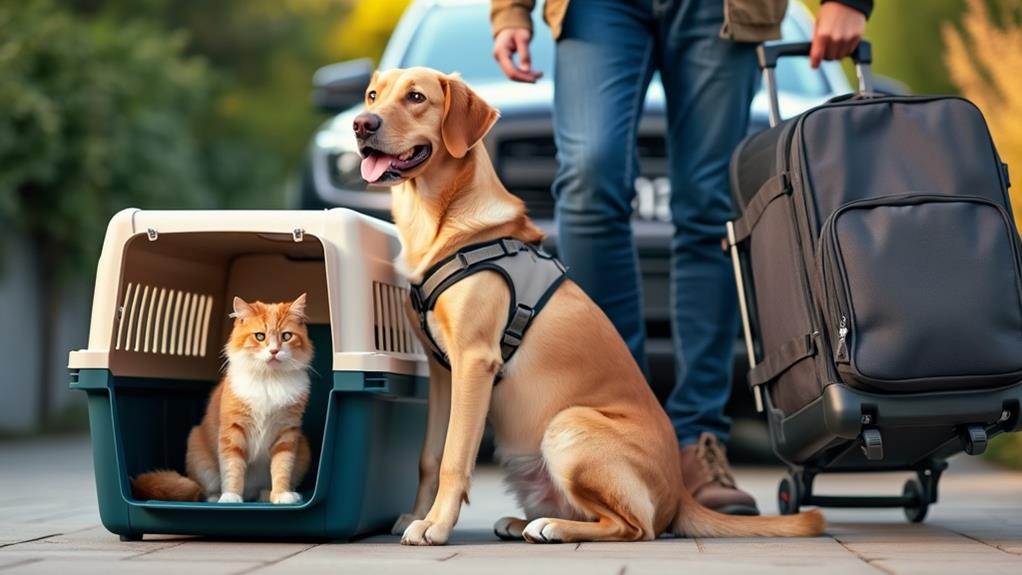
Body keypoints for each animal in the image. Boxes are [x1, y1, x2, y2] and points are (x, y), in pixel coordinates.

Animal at [131, 294, 314, 506]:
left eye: (286, 336)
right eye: (260, 336)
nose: (274, 351)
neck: (269, 379)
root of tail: (250, 492)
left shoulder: (286, 434)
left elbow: (281, 468)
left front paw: (282, 495)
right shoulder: (232, 431)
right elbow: (233, 469)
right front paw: (231, 498)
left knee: (260, 491)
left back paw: (266, 495)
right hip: (200, 458)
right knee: (204, 492)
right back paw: (217, 497)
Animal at [355, 67, 825, 543]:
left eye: (416, 97)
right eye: (373, 95)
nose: (361, 124)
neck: (443, 224)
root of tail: (679, 494)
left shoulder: (474, 361)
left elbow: (454, 456)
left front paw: (435, 525)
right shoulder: (442, 373)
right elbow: (430, 456)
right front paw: (420, 514)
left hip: (569, 425)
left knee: (636, 528)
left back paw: (552, 527)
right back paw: (525, 522)